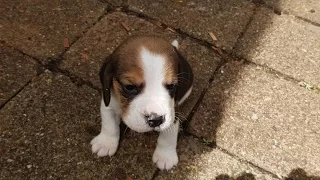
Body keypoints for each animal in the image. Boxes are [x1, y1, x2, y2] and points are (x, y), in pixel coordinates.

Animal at [91, 35, 194, 170]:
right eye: (129, 87)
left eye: (171, 86)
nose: (155, 119)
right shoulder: (108, 103)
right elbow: (109, 125)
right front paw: (105, 143)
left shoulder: (174, 113)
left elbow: (168, 136)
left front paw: (165, 156)